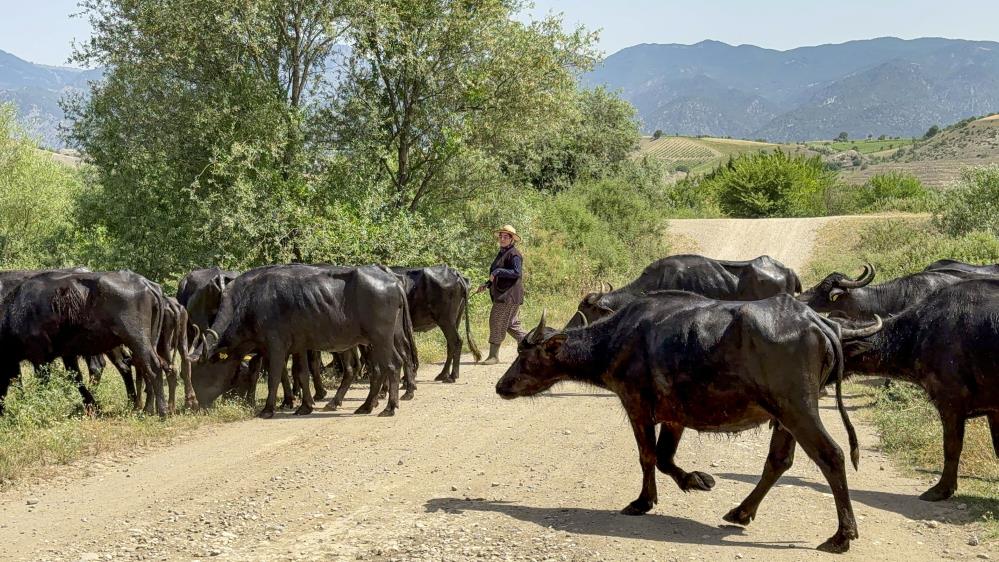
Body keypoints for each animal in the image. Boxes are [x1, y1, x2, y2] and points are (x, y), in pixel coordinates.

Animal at [193, 264, 416, 416]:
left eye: (204, 371)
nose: (200, 403)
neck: (250, 302)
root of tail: (394, 282)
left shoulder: (275, 347)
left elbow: (275, 376)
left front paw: (268, 409)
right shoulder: (299, 346)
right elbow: (301, 374)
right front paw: (305, 406)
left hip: (381, 338)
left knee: (392, 364)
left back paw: (389, 407)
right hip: (375, 340)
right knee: (380, 367)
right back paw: (365, 405)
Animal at [496, 294, 880, 552]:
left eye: (527, 357)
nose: (501, 385)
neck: (619, 339)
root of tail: (818, 322)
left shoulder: (636, 405)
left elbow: (648, 457)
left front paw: (643, 502)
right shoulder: (674, 417)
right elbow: (665, 458)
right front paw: (698, 480)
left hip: (798, 408)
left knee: (831, 455)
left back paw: (842, 535)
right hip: (784, 416)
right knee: (778, 461)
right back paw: (741, 512)